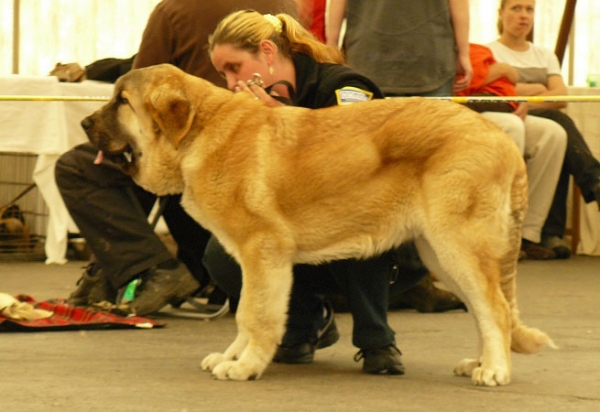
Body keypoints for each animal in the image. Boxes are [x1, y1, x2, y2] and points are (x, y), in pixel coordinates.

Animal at [82, 63, 556, 386]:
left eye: (122, 102)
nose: (85, 122)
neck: (199, 133)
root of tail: (501, 139)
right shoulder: (254, 261)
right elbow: (246, 313)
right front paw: (233, 358)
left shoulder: (262, 252)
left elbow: (254, 314)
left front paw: (246, 365)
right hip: (440, 253)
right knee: (483, 309)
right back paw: (482, 362)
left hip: (457, 245)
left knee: (495, 308)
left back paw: (494, 371)